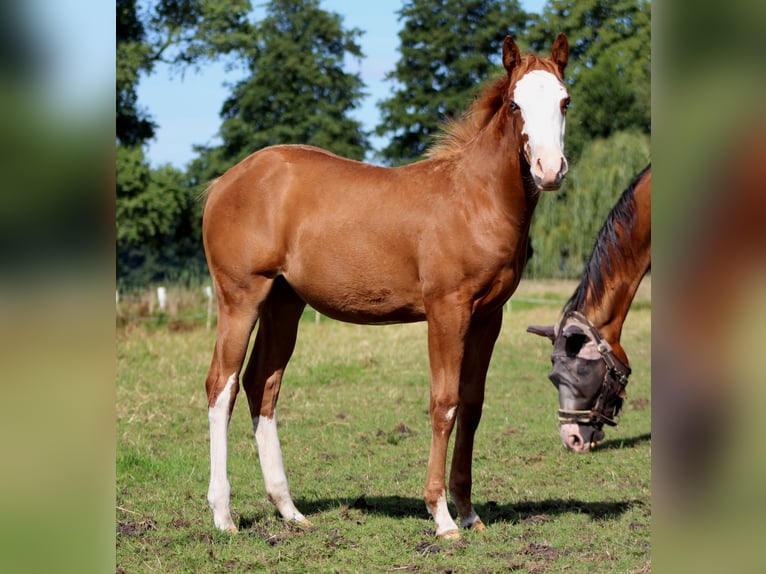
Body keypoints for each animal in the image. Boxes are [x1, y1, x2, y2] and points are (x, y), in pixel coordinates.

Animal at [201, 33, 570, 539]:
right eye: (515, 104)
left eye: (565, 101)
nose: (549, 169)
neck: (474, 198)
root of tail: (224, 182)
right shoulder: (447, 310)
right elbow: (444, 403)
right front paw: (442, 516)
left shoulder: (487, 317)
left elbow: (472, 406)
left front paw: (469, 512)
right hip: (241, 297)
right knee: (223, 385)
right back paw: (223, 515)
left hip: (284, 304)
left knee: (263, 385)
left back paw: (289, 510)